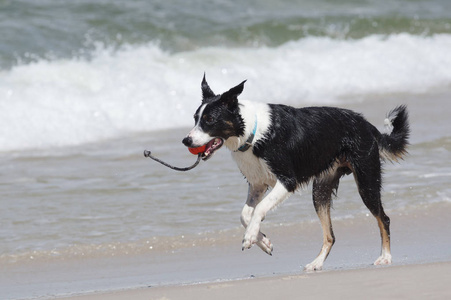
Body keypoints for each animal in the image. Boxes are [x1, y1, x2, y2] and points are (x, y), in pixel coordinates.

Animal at [183, 75, 410, 272]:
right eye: (195, 118)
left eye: (209, 119)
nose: (186, 141)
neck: (253, 133)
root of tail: (368, 125)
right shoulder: (257, 184)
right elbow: (245, 214)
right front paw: (263, 241)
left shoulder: (287, 181)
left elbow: (259, 209)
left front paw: (250, 238)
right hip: (320, 191)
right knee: (330, 235)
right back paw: (316, 263)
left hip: (366, 180)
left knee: (384, 219)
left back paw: (385, 257)